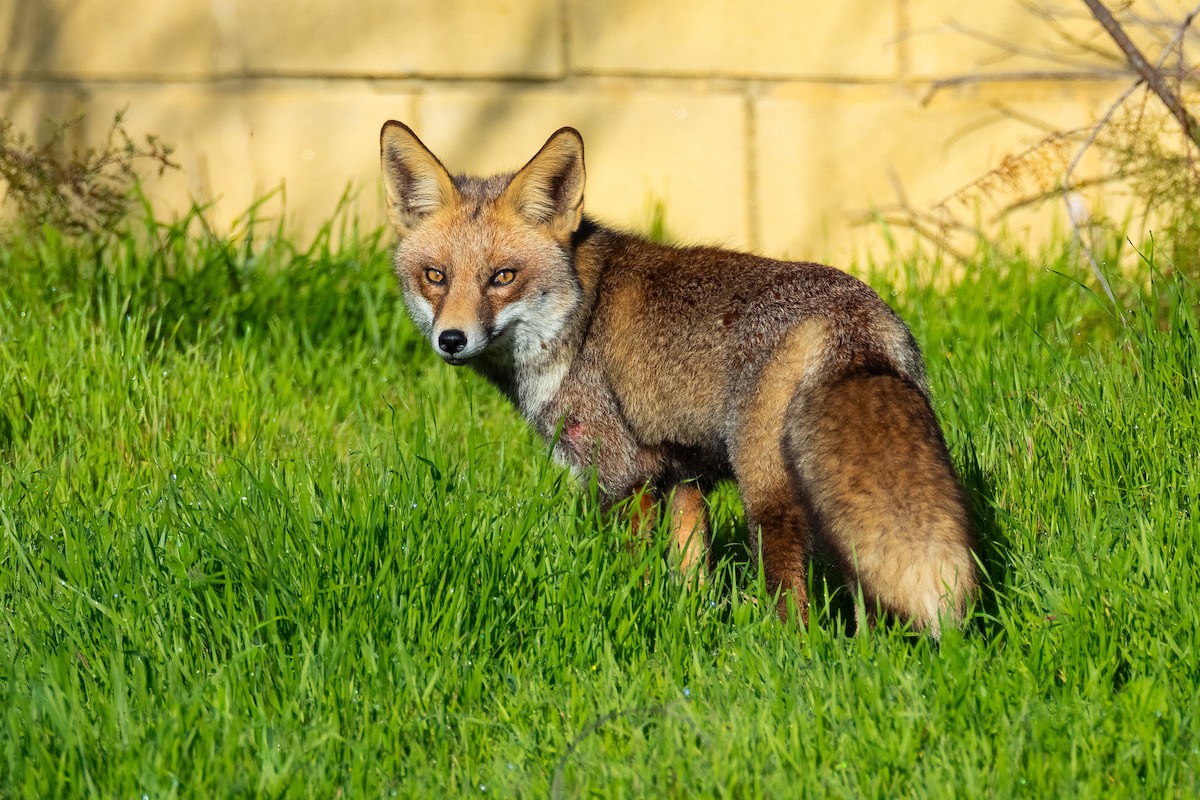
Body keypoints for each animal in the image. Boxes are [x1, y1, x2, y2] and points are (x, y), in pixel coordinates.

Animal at [379, 121, 978, 637]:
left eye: (503, 277)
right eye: (435, 276)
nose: (451, 340)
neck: (576, 318)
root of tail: (851, 320)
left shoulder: (623, 475)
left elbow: (636, 571)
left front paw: (632, 619)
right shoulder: (681, 472)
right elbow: (690, 569)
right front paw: (687, 621)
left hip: (767, 491)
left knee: (791, 586)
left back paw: (790, 649)